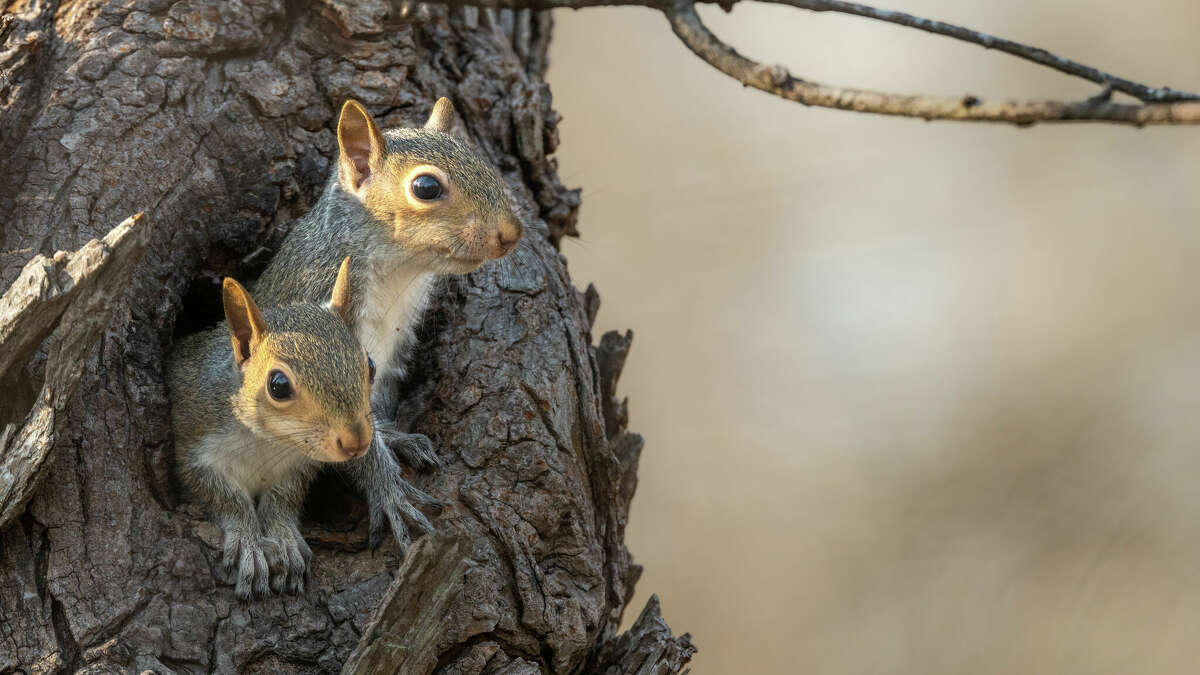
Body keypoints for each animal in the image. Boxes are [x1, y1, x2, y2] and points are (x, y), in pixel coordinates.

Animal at [167, 258, 376, 599]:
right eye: (278, 386)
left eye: (370, 366)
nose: (355, 441)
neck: (269, 442)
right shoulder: (191, 450)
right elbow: (224, 497)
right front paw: (248, 543)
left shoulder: (298, 465)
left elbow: (283, 498)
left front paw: (283, 538)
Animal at [252, 97, 522, 550]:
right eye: (426, 187)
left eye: (483, 162)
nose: (512, 233)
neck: (397, 273)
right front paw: (391, 493)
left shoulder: (397, 341)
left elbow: (379, 403)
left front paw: (396, 436)